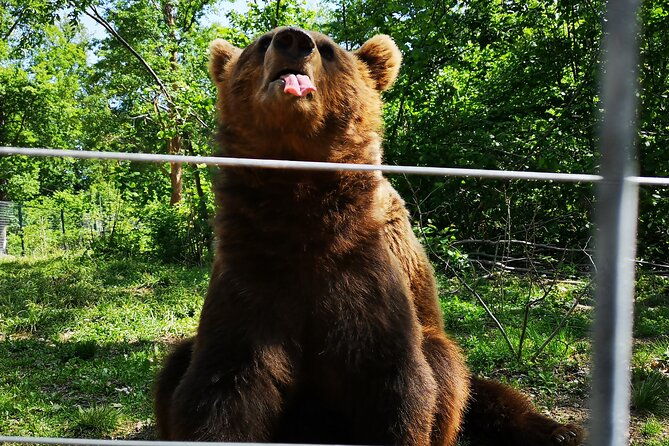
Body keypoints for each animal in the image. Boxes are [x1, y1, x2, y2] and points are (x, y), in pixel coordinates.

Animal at [154, 27, 584, 446]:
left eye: (328, 49)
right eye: (261, 43)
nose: (293, 40)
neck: (302, 208)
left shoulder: (361, 271)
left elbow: (390, 382)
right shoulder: (253, 270)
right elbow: (226, 383)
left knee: (455, 371)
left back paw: (560, 431)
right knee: (175, 363)